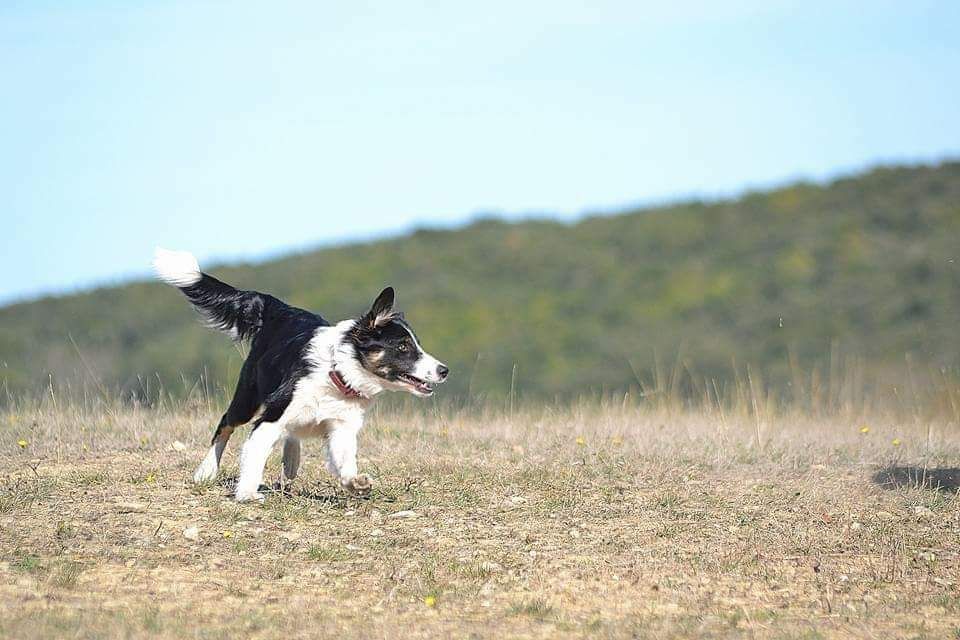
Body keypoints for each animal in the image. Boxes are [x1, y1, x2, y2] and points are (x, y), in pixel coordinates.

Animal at [153, 248, 450, 502]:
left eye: (417, 344)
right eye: (403, 347)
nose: (444, 370)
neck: (337, 373)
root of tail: (276, 307)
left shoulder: (341, 427)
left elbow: (345, 462)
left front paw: (357, 483)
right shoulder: (272, 415)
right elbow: (255, 451)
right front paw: (247, 493)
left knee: (290, 434)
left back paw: (292, 460)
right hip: (248, 398)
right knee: (226, 422)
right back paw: (206, 471)